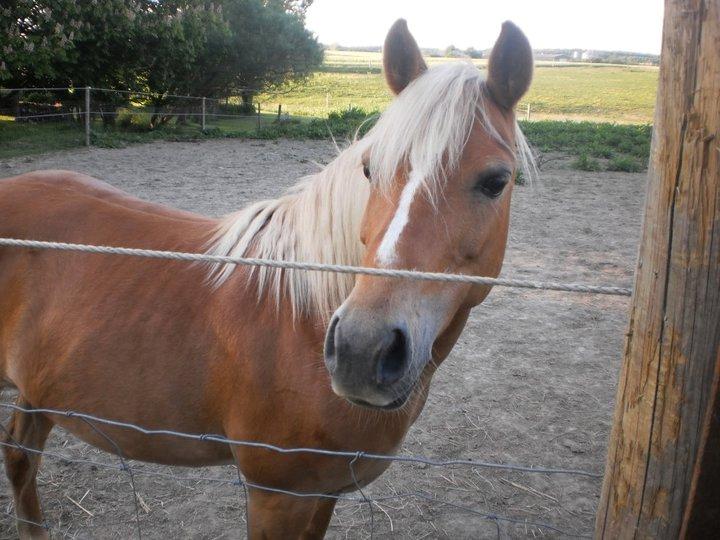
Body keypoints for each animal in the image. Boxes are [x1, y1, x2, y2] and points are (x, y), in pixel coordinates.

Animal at [1, 19, 536, 536]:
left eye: (496, 181)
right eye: (369, 169)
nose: (362, 350)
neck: (301, 317)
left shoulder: (324, 493)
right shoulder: (278, 497)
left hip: (37, 392)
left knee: (21, 456)